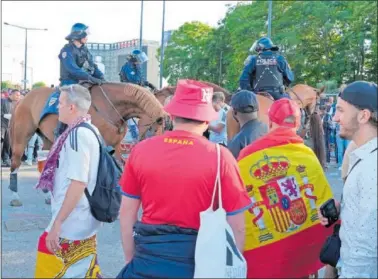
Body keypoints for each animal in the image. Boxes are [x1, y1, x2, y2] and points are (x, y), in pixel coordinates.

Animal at [7, 82, 166, 207]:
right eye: (154, 129)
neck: (111, 105)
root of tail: (23, 99)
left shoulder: (116, 146)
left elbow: (122, 168)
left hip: (47, 139)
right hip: (22, 136)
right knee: (15, 162)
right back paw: (15, 196)